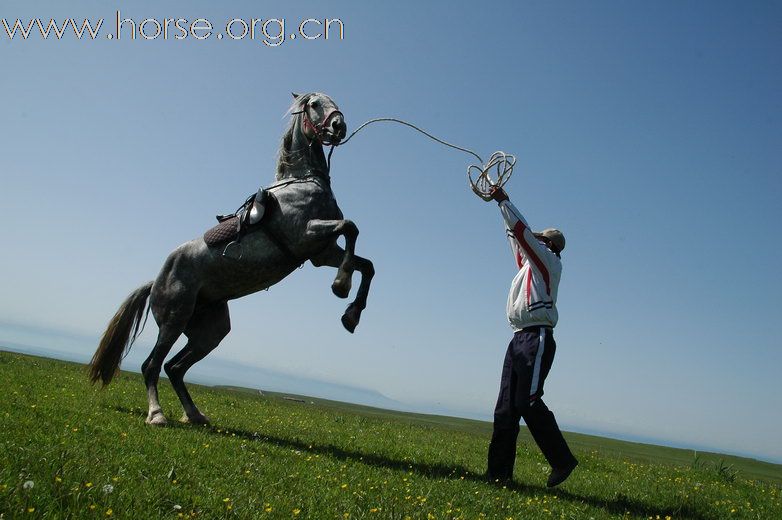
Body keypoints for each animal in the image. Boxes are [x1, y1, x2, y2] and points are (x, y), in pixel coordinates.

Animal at [89, 92, 376, 426]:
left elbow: (365, 263)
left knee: (175, 367)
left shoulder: (322, 252)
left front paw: (351, 314)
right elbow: (351, 228)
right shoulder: (306, 235)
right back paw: (157, 414)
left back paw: (194, 414)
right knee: (152, 365)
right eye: (315, 104)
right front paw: (341, 286)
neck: (302, 182)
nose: (339, 125)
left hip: (210, 331)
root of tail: (156, 281)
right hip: (173, 320)